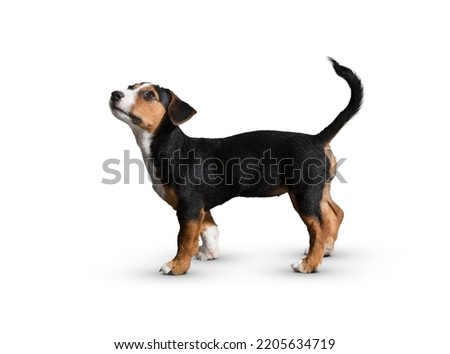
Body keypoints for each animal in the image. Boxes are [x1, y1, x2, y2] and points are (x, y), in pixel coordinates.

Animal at [108, 58, 362, 276]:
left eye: (149, 94)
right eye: (130, 87)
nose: (115, 93)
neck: (172, 147)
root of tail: (317, 138)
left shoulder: (189, 206)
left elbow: (184, 238)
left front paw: (177, 265)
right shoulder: (201, 206)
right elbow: (208, 230)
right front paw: (208, 253)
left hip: (303, 194)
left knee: (318, 226)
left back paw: (309, 264)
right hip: (319, 189)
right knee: (335, 214)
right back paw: (326, 250)